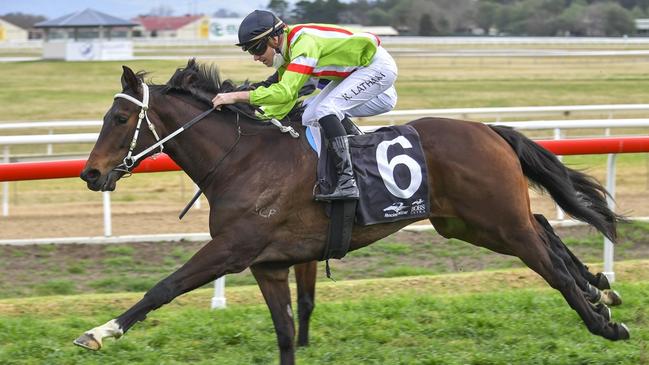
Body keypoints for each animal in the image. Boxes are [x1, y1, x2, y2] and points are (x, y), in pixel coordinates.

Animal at [74, 59, 628, 362]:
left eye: (119, 118)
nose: (91, 174)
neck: (243, 159)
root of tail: (489, 130)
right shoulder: (267, 264)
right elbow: (285, 335)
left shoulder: (232, 249)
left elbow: (163, 288)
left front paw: (99, 333)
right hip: (468, 223)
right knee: (545, 228)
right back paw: (600, 288)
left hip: (498, 221)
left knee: (551, 264)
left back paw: (603, 321)